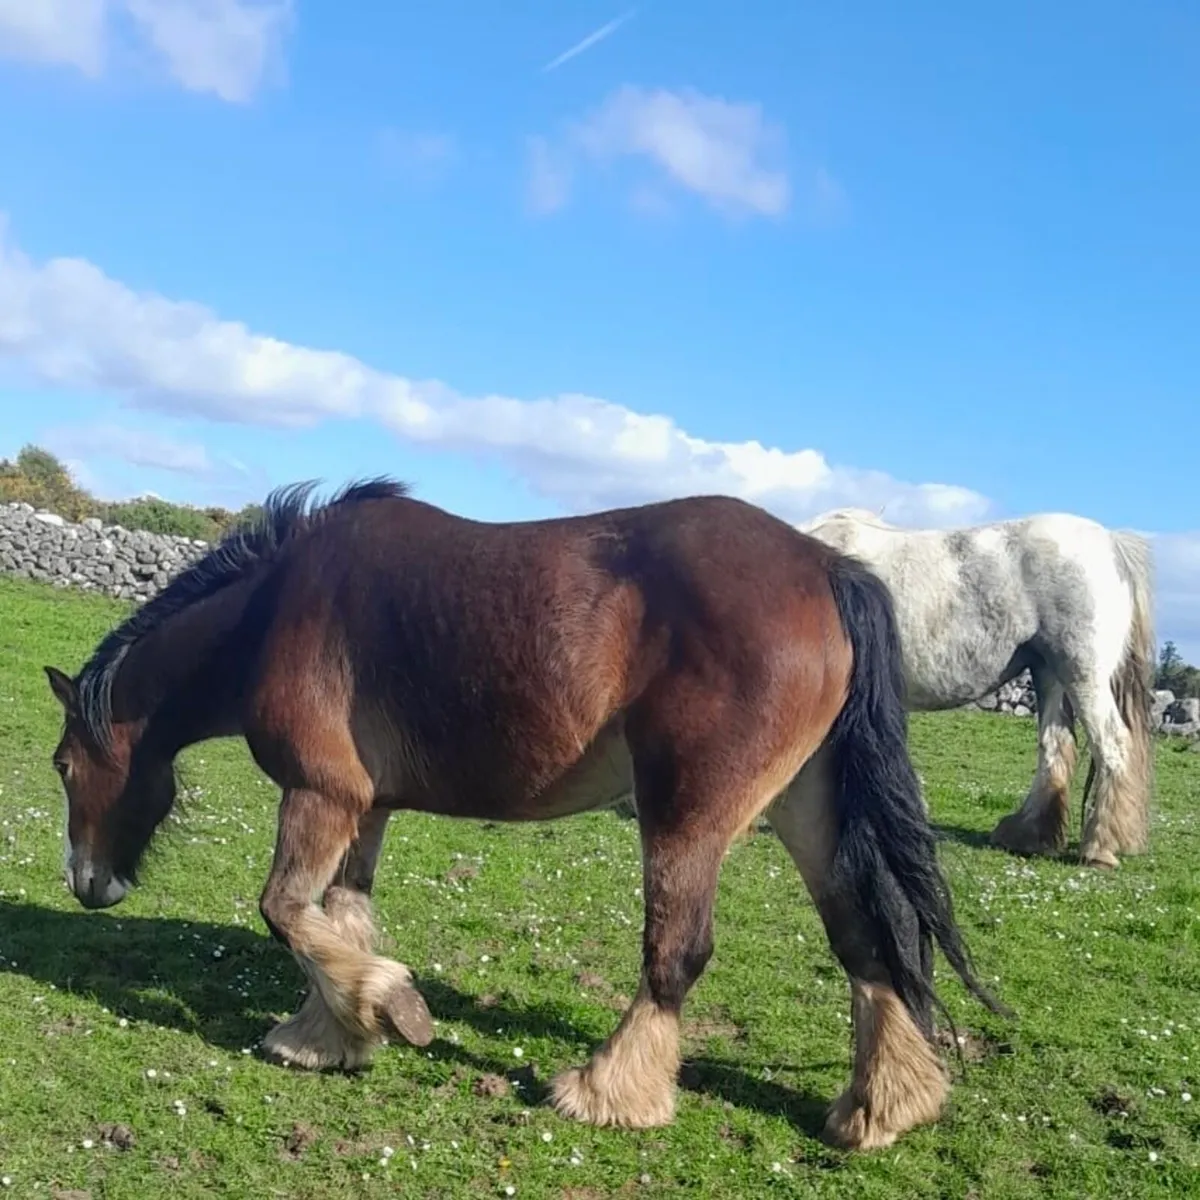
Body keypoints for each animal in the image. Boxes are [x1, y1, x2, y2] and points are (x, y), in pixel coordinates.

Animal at [43, 478, 1006, 1152]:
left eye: (62, 766)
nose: (87, 883)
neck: (276, 609)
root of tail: (826, 568)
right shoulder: (367, 807)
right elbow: (340, 917)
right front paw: (332, 1034)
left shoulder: (321, 795)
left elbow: (285, 910)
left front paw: (393, 1010)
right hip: (808, 808)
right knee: (867, 942)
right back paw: (882, 1106)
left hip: (687, 814)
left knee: (678, 953)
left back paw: (608, 1091)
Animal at [799, 507, 1156, 869]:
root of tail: (1111, 542)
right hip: (1050, 674)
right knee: (1055, 749)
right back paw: (1029, 837)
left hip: (1083, 676)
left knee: (1111, 745)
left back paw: (1099, 849)